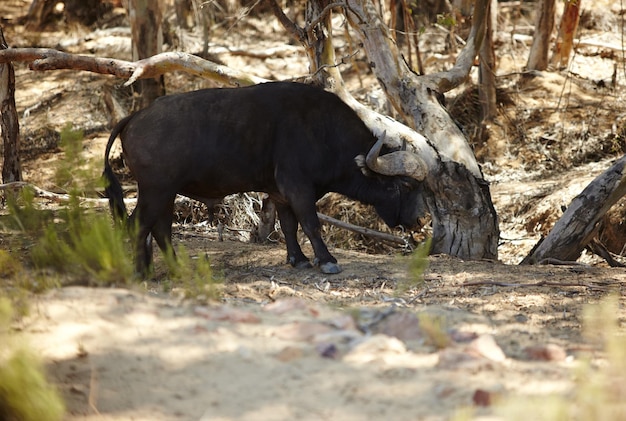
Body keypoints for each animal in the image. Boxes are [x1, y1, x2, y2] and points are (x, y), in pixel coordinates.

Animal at [102, 80, 426, 274]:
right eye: (405, 185)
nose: (420, 220)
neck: (324, 132)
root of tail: (135, 116)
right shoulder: (298, 187)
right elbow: (311, 223)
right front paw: (327, 260)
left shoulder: (280, 194)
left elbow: (289, 226)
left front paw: (298, 259)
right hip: (156, 190)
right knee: (138, 225)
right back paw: (141, 272)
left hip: (165, 193)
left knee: (160, 229)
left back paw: (171, 267)